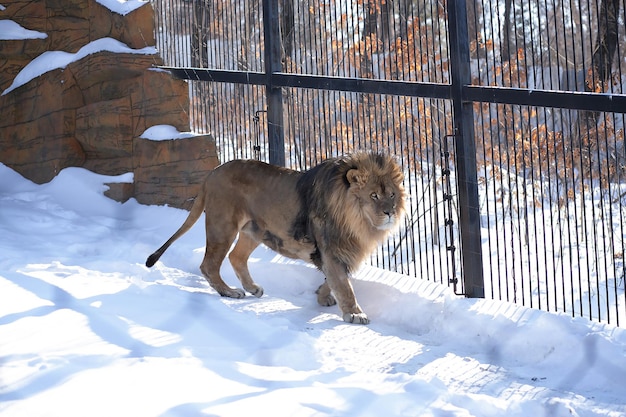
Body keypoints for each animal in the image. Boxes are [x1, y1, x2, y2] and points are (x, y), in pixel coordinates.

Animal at [146, 151, 404, 324]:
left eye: (391, 194)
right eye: (373, 195)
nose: (389, 212)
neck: (359, 222)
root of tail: (212, 173)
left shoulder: (340, 252)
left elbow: (333, 279)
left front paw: (322, 296)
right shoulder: (331, 250)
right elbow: (343, 284)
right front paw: (355, 313)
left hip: (253, 230)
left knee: (236, 257)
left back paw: (252, 288)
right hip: (223, 226)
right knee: (209, 265)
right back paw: (230, 292)